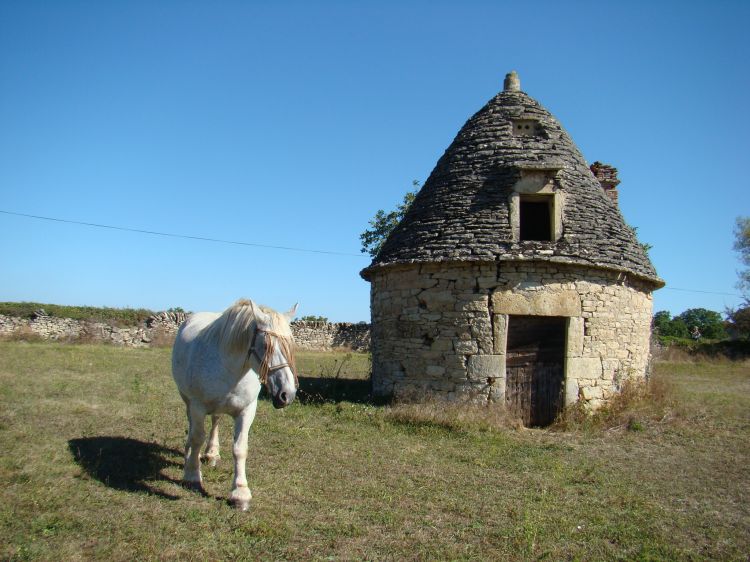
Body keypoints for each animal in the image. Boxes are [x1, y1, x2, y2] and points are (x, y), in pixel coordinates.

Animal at [172, 298, 298, 508]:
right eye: (266, 345)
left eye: (290, 344)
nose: (287, 394)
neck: (230, 369)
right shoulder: (197, 406)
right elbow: (197, 437)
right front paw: (192, 476)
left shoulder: (247, 411)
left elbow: (240, 449)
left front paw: (240, 493)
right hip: (187, 400)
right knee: (193, 428)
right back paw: (191, 455)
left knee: (215, 421)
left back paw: (212, 454)